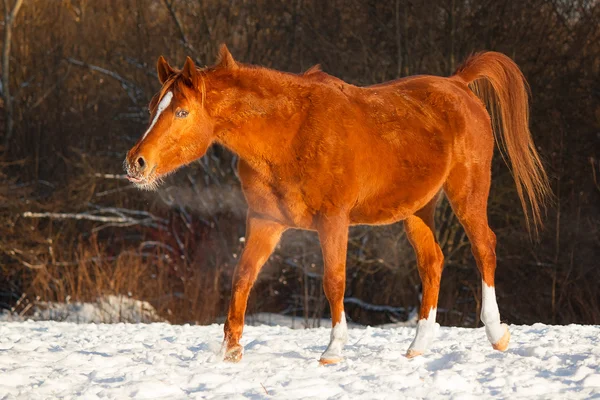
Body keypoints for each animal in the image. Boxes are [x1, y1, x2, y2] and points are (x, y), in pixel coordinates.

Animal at [125, 45, 548, 364]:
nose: (136, 163)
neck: (289, 133)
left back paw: (496, 333)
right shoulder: (264, 222)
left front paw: (333, 350)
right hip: (417, 209)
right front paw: (230, 351)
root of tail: (458, 85)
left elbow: (334, 281)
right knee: (432, 262)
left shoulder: (333, 220)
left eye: (182, 111)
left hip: (468, 193)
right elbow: (242, 278)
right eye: (152, 108)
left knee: (484, 248)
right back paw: (418, 345)